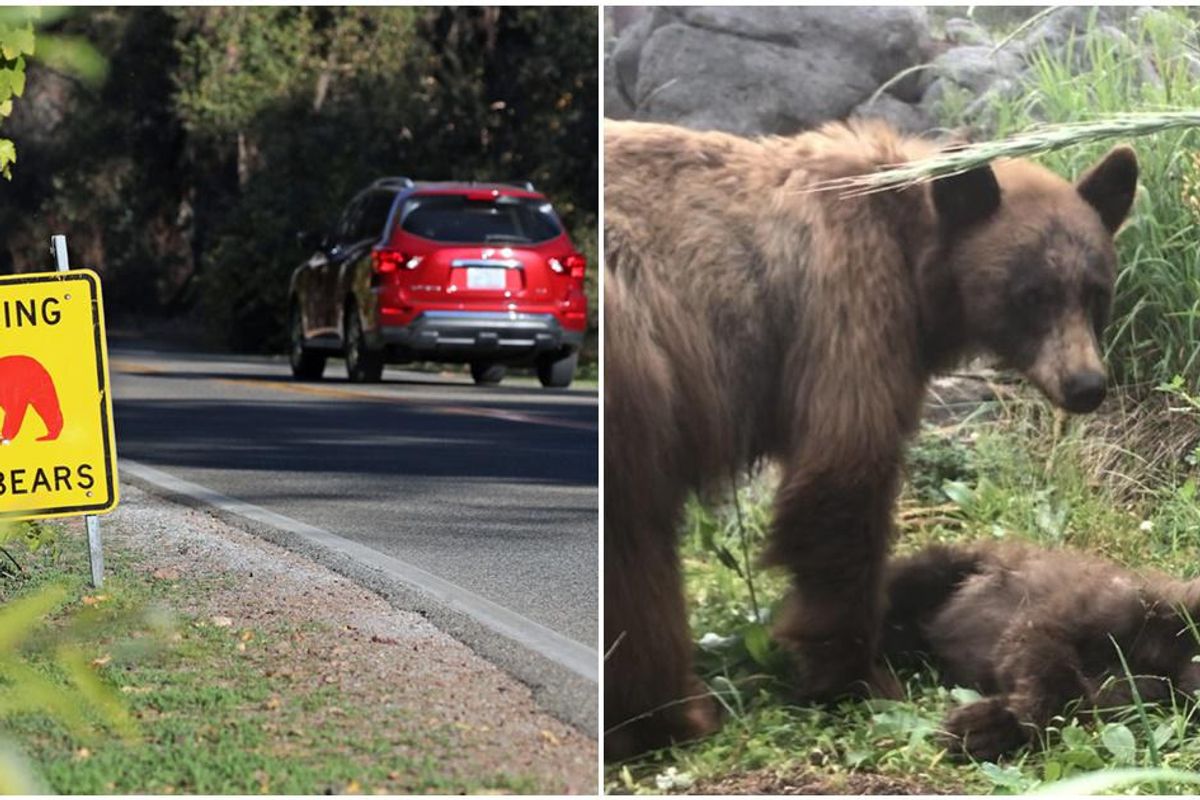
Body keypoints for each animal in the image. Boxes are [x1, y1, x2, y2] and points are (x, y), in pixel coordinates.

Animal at [604, 115, 1137, 762]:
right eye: (1031, 294)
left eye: (1096, 291)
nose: (1086, 385)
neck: (913, 245)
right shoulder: (849, 303)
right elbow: (842, 479)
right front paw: (857, 676)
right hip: (638, 373)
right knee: (635, 547)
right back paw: (670, 715)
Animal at [883, 542, 1200, 762]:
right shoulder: (1055, 619)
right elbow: (1053, 669)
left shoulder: (1128, 695)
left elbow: (1078, 708)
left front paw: (984, 728)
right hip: (942, 570)